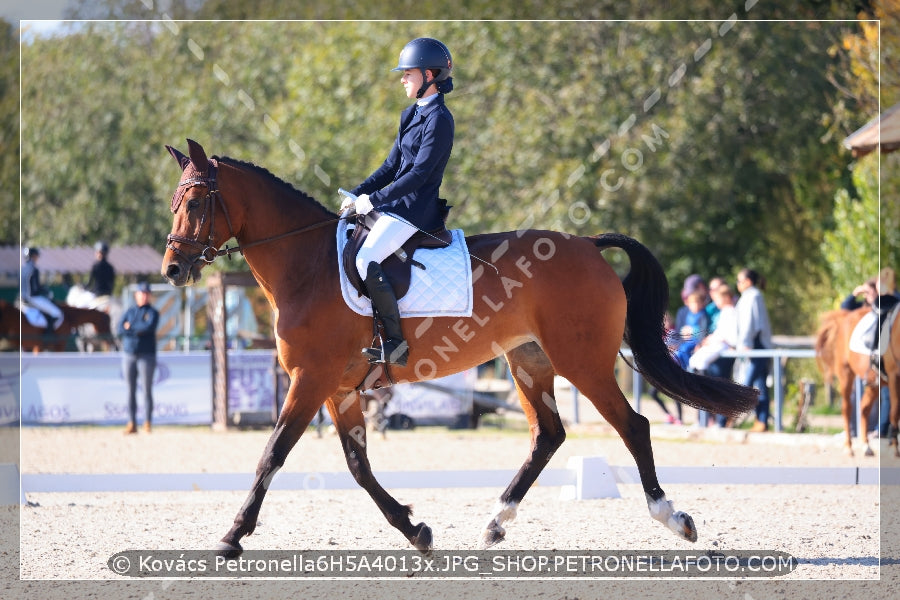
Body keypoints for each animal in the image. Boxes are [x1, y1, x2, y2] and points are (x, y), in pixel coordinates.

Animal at [162, 138, 760, 556]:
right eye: (175, 202)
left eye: (196, 201)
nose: (172, 269)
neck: (306, 266)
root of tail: (589, 245)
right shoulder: (338, 388)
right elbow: (358, 466)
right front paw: (416, 530)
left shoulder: (311, 381)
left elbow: (273, 454)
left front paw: (232, 535)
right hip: (529, 362)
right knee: (549, 434)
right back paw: (495, 522)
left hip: (582, 362)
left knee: (632, 425)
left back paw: (672, 518)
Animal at [816, 310, 880, 454]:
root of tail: (846, 315)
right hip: (846, 374)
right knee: (847, 408)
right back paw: (849, 446)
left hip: (874, 383)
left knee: (864, 408)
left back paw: (866, 445)